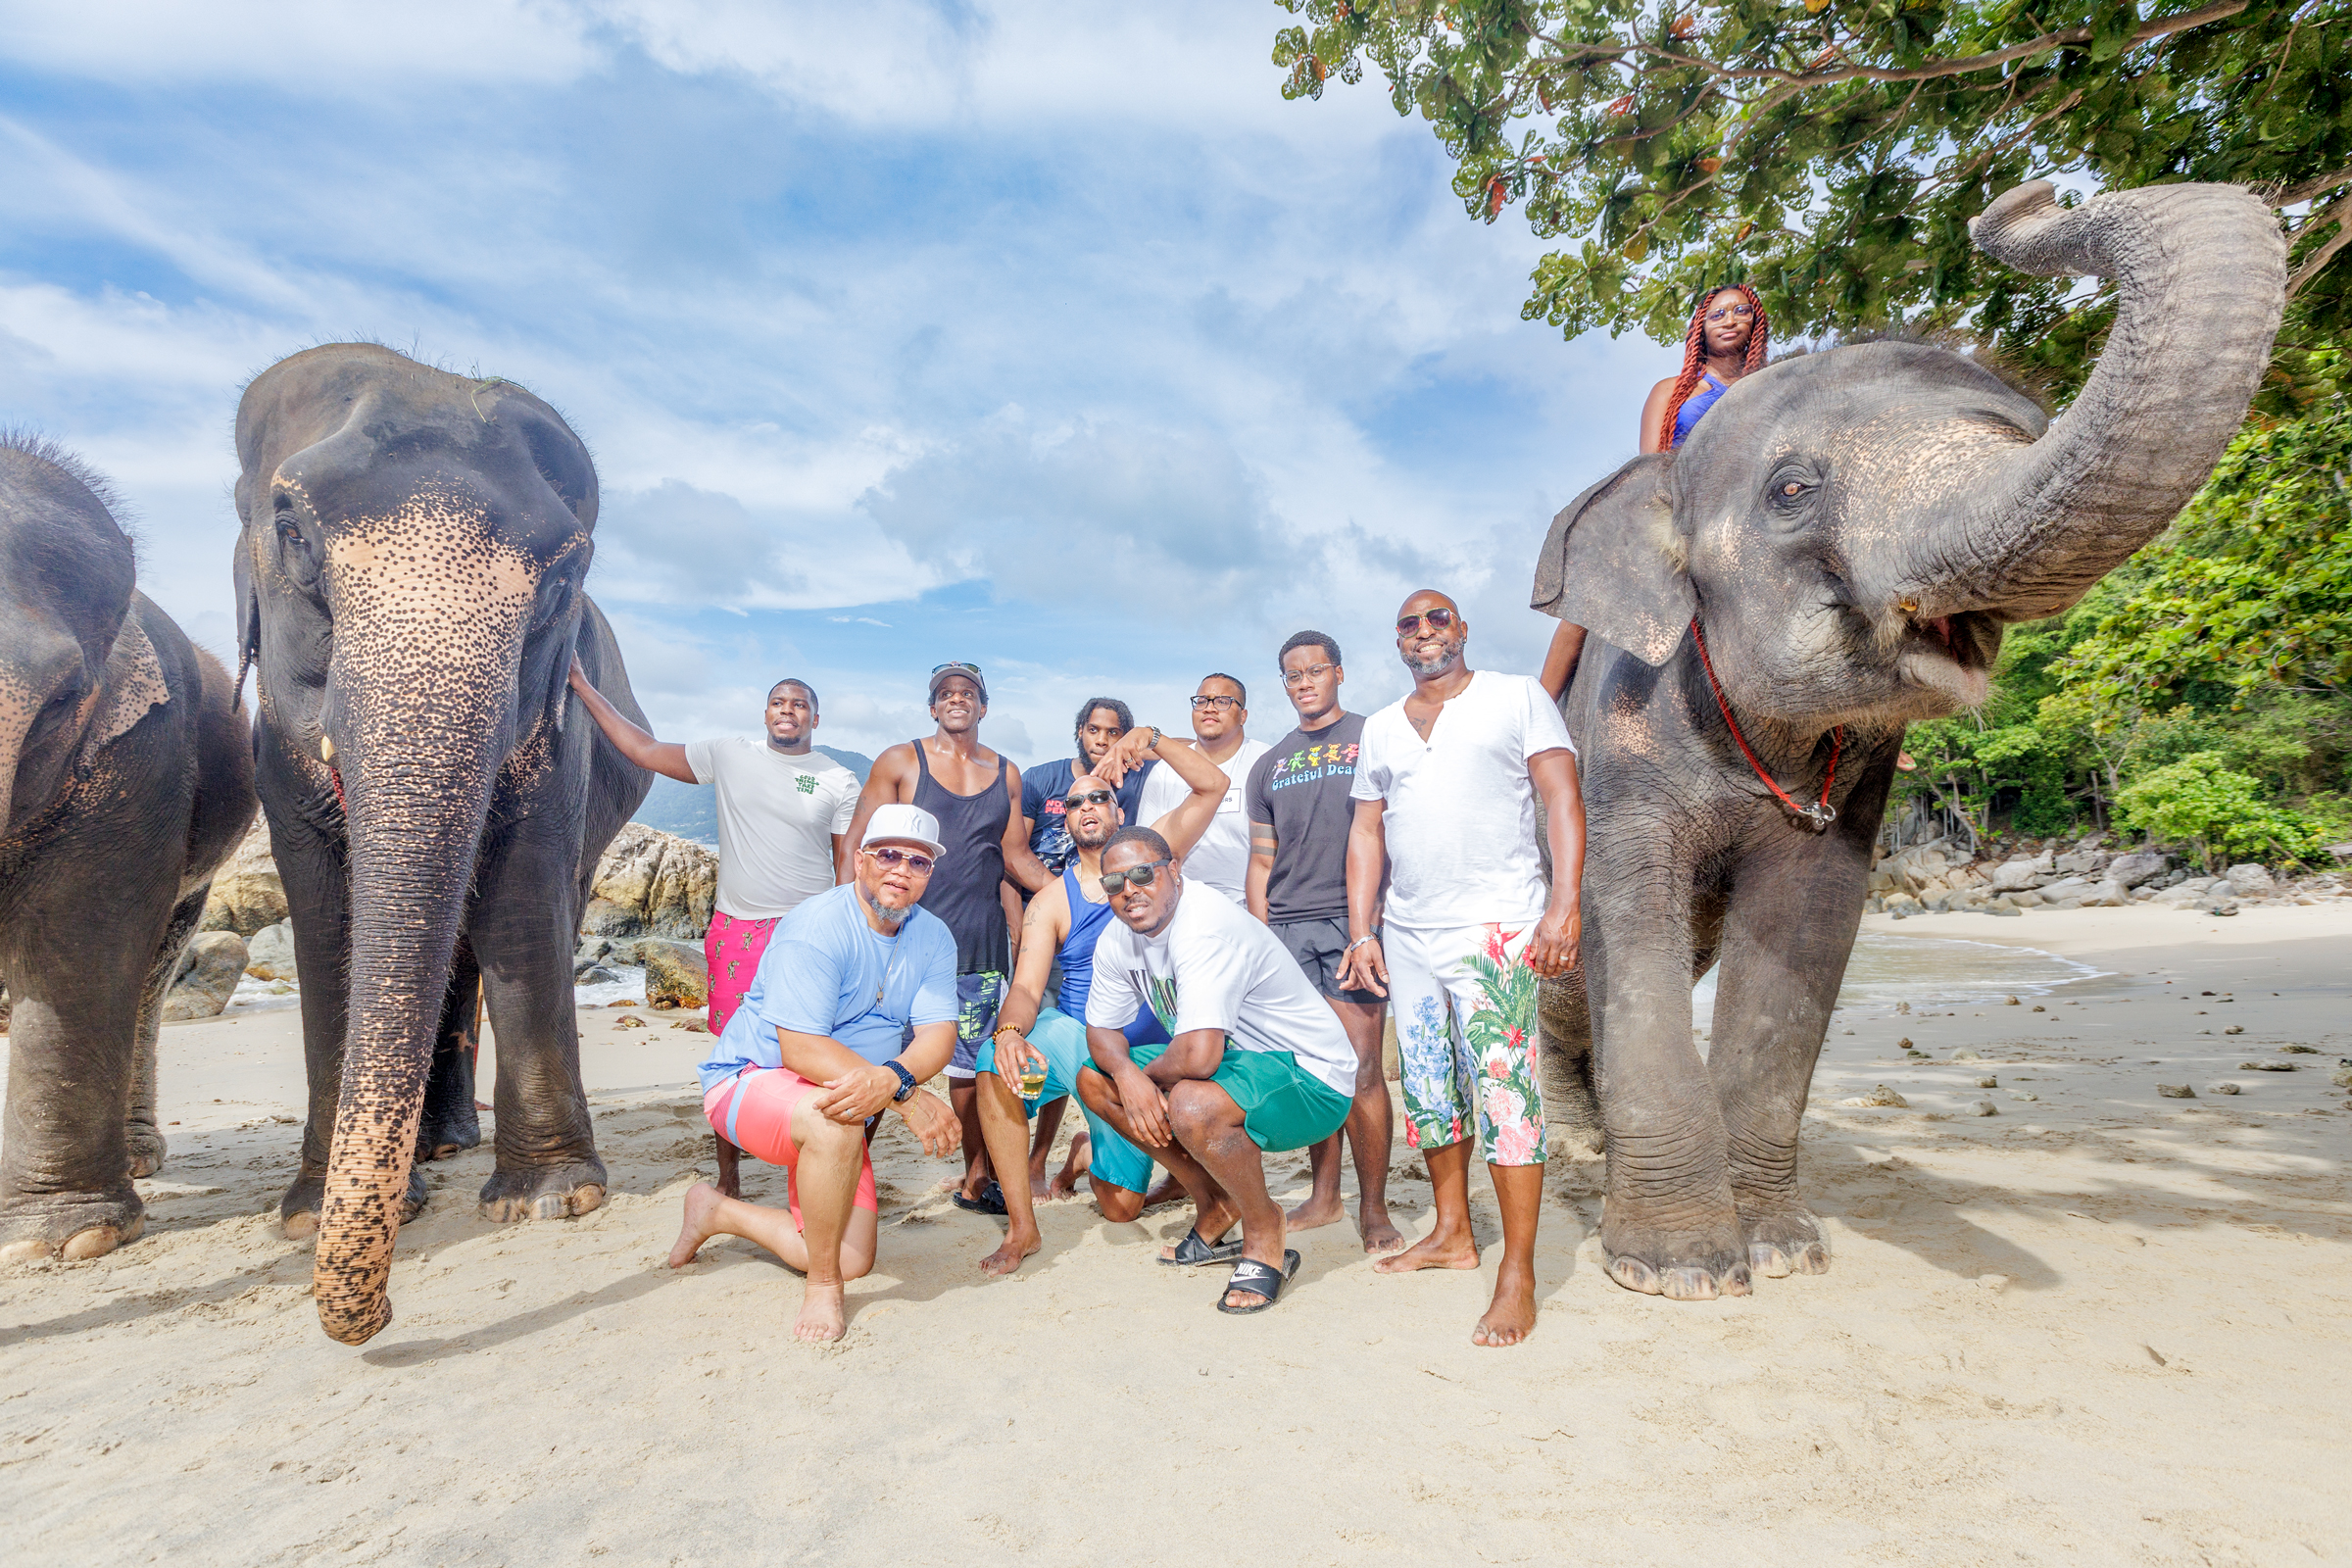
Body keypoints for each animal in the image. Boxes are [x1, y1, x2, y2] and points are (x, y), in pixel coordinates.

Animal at [0, 435, 257, 1263]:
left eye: (58, 703)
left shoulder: (141, 749)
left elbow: (77, 938)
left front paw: (63, 1243)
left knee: (148, 980)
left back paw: (141, 1160)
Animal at [233, 344, 650, 1344]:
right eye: (291, 530)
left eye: (564, 581)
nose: (385, 1311)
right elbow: (325, 921)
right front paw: (309, 1213)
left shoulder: (563, 736)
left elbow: (525, 891)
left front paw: (549, 1202)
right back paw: (429, 1152)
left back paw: (452, 1143)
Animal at [1530, 181, 2286, 1300]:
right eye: (1791, 490)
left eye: (2030, 431)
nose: (2027, 194)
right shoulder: (1620, 737)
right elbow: (1632, 918)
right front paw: (1682, 1272)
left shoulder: (1862, 777)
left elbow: (1806, 930)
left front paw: (1780, 1249)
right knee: (1567, 977)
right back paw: (1576, 1143)